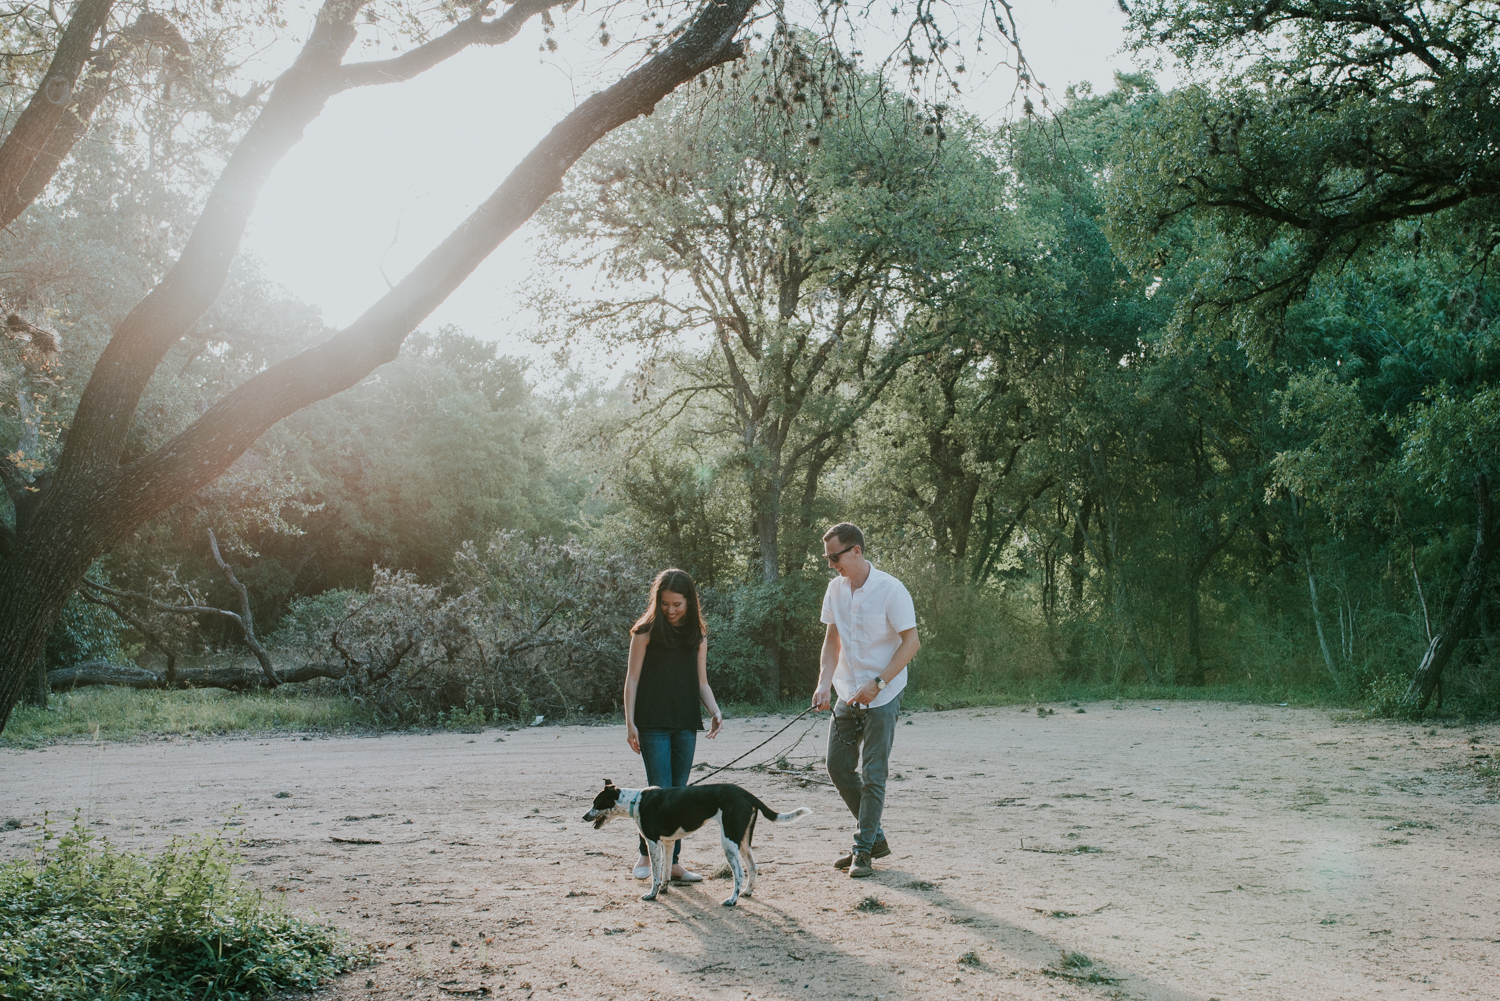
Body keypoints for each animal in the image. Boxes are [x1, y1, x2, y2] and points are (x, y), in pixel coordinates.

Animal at [579, 780, 810, 906]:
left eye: (596, 803)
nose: (583, 817)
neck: (635, 800)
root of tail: (746, 794)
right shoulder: (668, 843)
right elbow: (665, 872)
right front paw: (664, 889)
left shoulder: (652, 842)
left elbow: (655, 874)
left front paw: (652, 895)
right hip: (743, 842)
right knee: (753, 868)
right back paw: (747, 892)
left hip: (728, 842)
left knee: (739, 873)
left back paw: (732, 900)